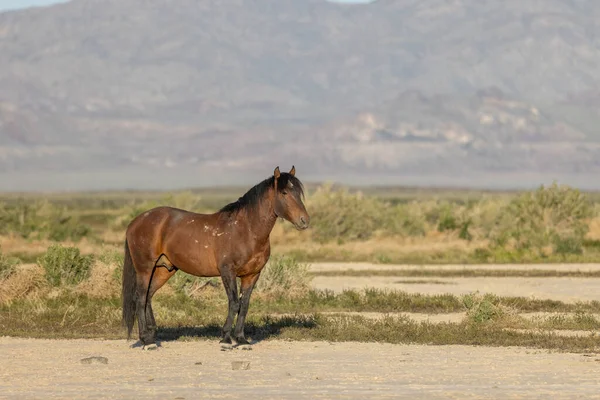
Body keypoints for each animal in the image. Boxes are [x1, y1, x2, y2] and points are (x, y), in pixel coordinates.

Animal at [122, 165, 310, 346]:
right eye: (284, 193)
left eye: (298, 193)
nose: (304, 221)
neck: (246, 230)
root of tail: (135, 222)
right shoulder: (227, 271)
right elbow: (234, 303)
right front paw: (226, 339)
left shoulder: (252, 275)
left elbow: (244, 305)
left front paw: (241, 339)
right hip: (145, 269)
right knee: (140, 298)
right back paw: (146, 340)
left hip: (164, 269)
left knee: (148, 296)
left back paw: (152, 335)